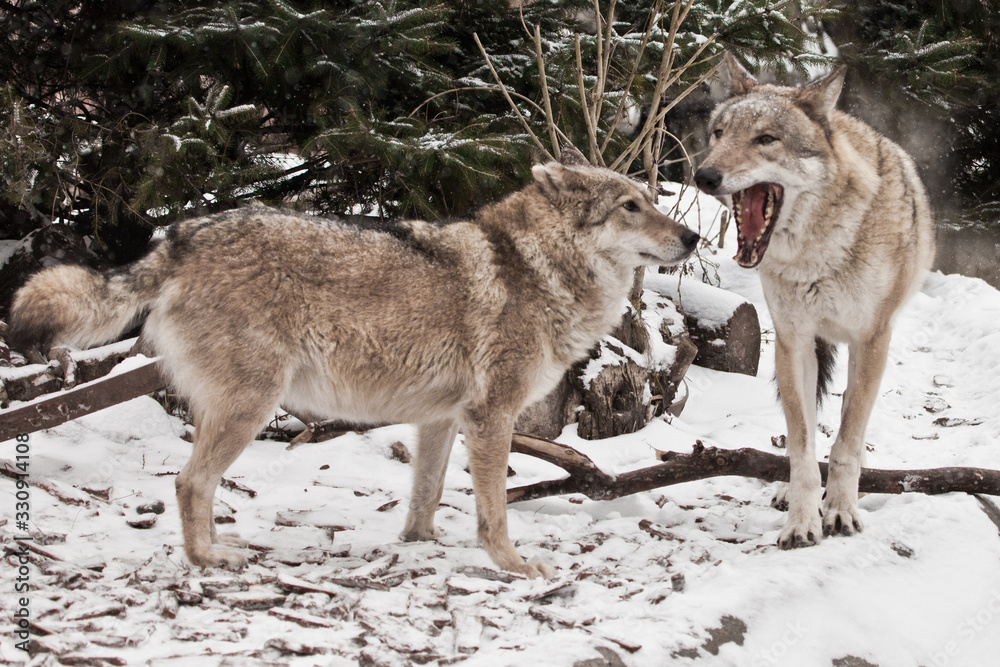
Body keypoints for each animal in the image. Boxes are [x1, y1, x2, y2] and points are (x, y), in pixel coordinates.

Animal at [7, 157, 700, 580]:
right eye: (631, 207)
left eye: (651, 201)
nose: (692, 238)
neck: (539, 268)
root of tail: (179, 235)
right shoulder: (492, 414)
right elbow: (495, 508)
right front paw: (512, 565)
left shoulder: (442, 420)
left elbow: (426, 494)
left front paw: (420, 546)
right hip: (251, 406)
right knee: (188, 483)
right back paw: (209, 560)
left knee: (192, 484)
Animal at [696, 54, 936, 552]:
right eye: (719, 133)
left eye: (766, 139)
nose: (704, 176)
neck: (818, 255)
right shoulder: (794, 341)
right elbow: (802, 445)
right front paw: (802, 521)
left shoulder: (872, 341)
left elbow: (846, 442)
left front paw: (841, 512)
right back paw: (787, 492)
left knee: (847, 425)